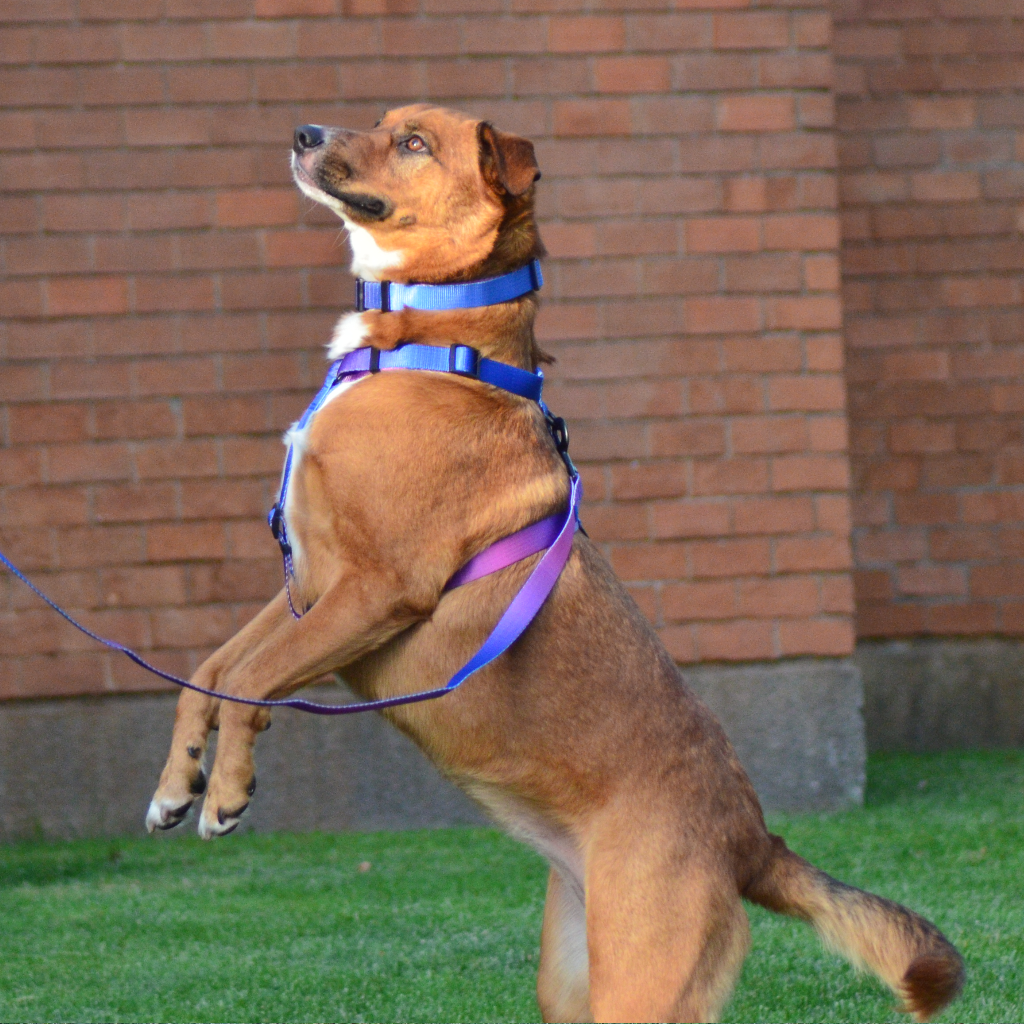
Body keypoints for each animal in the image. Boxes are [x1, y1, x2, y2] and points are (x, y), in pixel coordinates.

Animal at [144, 105, 958, 1024]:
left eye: (414, 142)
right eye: (384, 122)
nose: (302, 132)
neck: (428, 345)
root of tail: (752, 840)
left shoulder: (374, 592)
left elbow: (248, 683)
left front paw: (226, 793)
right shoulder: (310, 584)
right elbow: (209, 674)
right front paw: (177, 784)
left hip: (644, 981)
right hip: (573, 984)